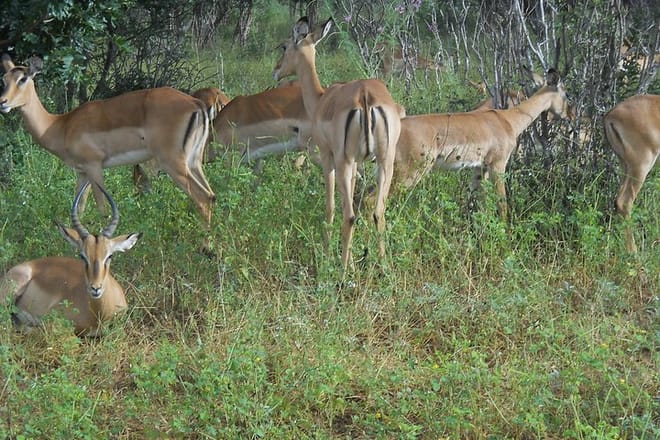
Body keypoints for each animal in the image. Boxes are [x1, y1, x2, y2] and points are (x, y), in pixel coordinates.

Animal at [0, 54, 215, 230]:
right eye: (4, 79)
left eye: (23, 78)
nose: (3, 102)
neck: (60, 125)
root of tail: (196, 104)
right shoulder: (82, 173)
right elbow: (78, 210)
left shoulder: (94, 166)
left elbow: (102, 209)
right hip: (193, 162)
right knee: (211, 195)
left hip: (172, 163)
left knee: (202, 197)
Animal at [273, 17, 402, 271]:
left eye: (284, 46)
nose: (276, 70)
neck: (321, 99)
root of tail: (365, 96)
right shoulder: (357, 164)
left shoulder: (328, 157)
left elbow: (331, 207)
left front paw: (328, 255)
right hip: (384, 162)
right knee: (378, 212)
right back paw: (383, 268)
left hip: (345, 161)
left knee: (350, 215)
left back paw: (342, 270)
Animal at [392, 69, 573, 221]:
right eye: (567, 93)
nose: (571, 115)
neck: (508, 120)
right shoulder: (498, 165)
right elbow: (502, 204)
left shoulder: (479, 168)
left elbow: (476, 203)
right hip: (411, 172)